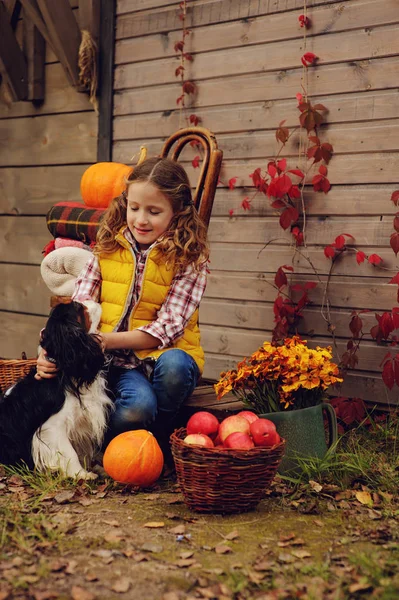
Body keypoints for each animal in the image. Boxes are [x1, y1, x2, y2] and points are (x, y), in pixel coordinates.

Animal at [0, 302, 112, 480]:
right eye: (79, 307)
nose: (95, 302)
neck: (65, 371)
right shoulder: (52, 427)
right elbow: (70, 452)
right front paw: (82, 474)